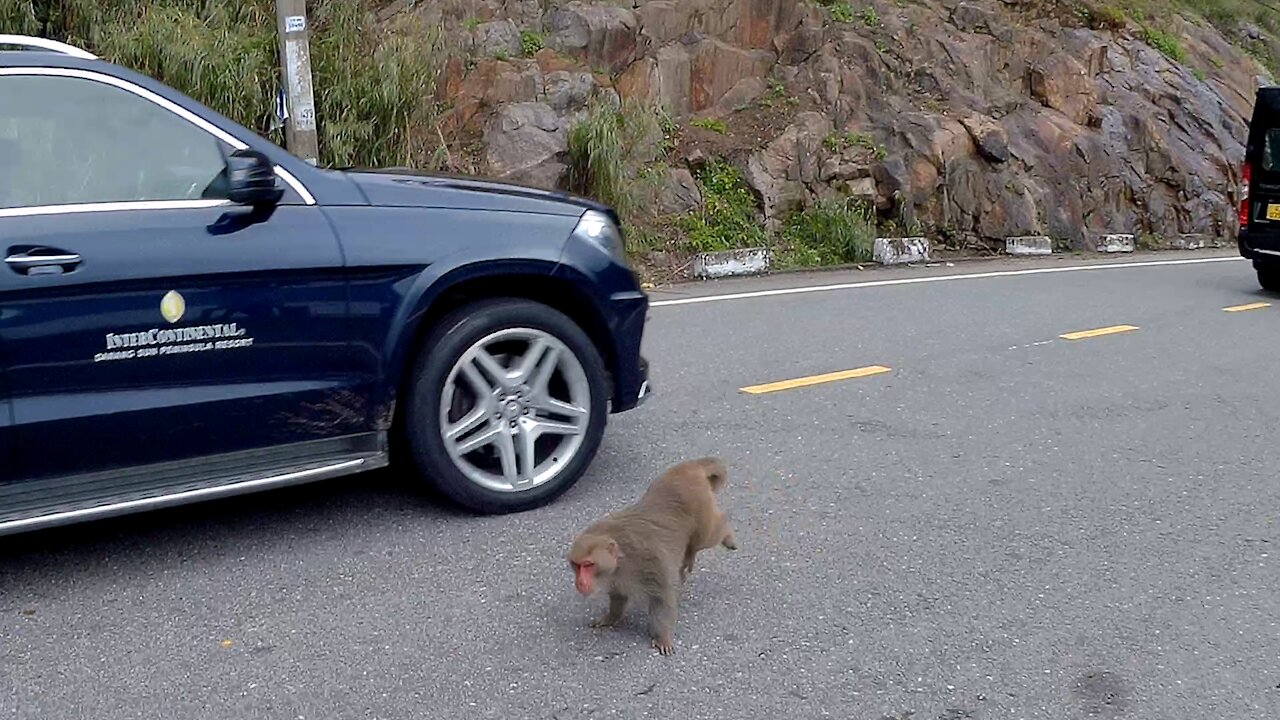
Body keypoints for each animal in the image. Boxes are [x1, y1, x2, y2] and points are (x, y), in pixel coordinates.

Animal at [565, 456, 737, 653]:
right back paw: (689, 557)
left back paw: (727, 534)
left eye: (589, 565)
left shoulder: (649, 560)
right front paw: (611, 617)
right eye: (577, 565)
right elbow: (619, 596)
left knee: (707, 536)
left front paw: (662, 637)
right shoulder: (617, 576)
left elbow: (662, 598)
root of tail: (688, 466)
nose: (580, 582)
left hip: (700, 504)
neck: (621, 559)